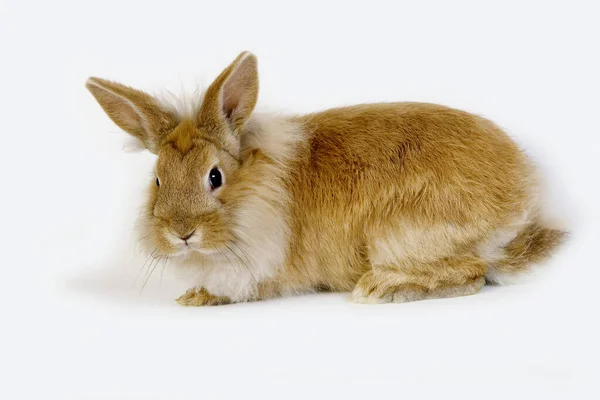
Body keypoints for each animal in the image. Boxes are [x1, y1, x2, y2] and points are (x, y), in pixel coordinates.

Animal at [85, 51, 568, 304]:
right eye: (158, 180)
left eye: (215, 176)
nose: (181, 233)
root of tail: (524, 192)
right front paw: (193, 297)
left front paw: (203, 296)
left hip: (399, 233)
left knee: (472, 273)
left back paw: (381, 288)